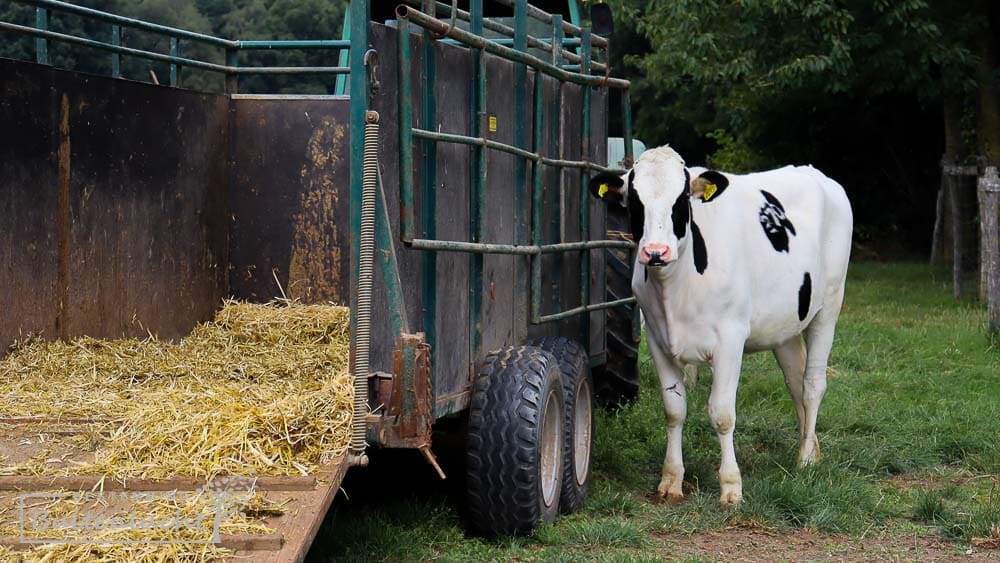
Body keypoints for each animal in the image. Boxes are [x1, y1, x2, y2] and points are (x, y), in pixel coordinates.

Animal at [588, 145, 856, 506]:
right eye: (634, 199)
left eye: (681, 199)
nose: (656, 252)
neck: (676, 288)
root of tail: (815, 173)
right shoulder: (658, 340)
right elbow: (674, 410)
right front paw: (671, 480)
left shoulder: (730, 339)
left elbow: (723, 413)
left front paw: (731, 486)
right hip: (783, 326)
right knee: (794, 382)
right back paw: (810, 449)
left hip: (828, 306)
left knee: (812, 385)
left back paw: (804, 460)